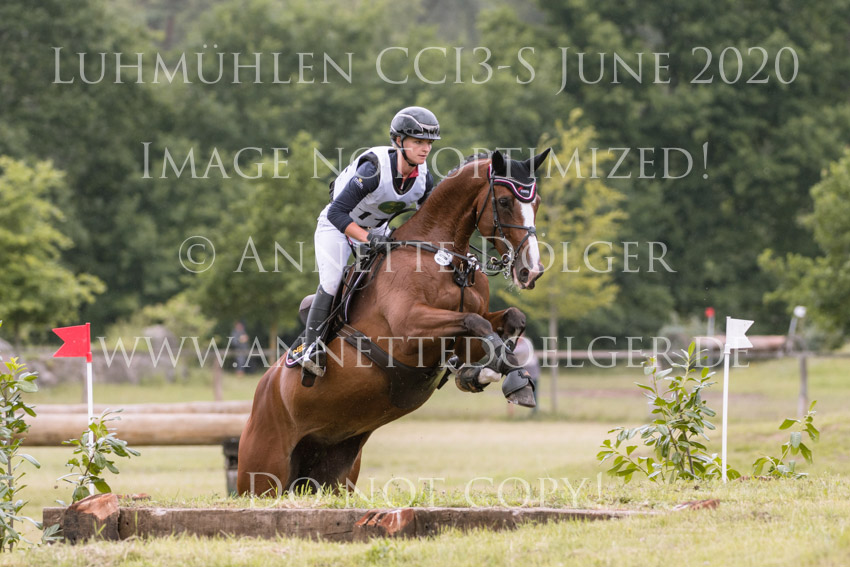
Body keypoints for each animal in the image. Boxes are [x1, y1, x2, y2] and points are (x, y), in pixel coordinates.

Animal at [237, 148, 550, 496]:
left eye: (537, 202)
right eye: (506, 201)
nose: (531, 271)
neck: (446, 261)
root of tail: (263, 391)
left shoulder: (464, 337)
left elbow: (510, 320)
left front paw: (493, 376)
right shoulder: (409, 329)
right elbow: (474, 321)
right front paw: (506, 379)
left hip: (333, 471)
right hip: (261, 475)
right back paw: (309, 359)